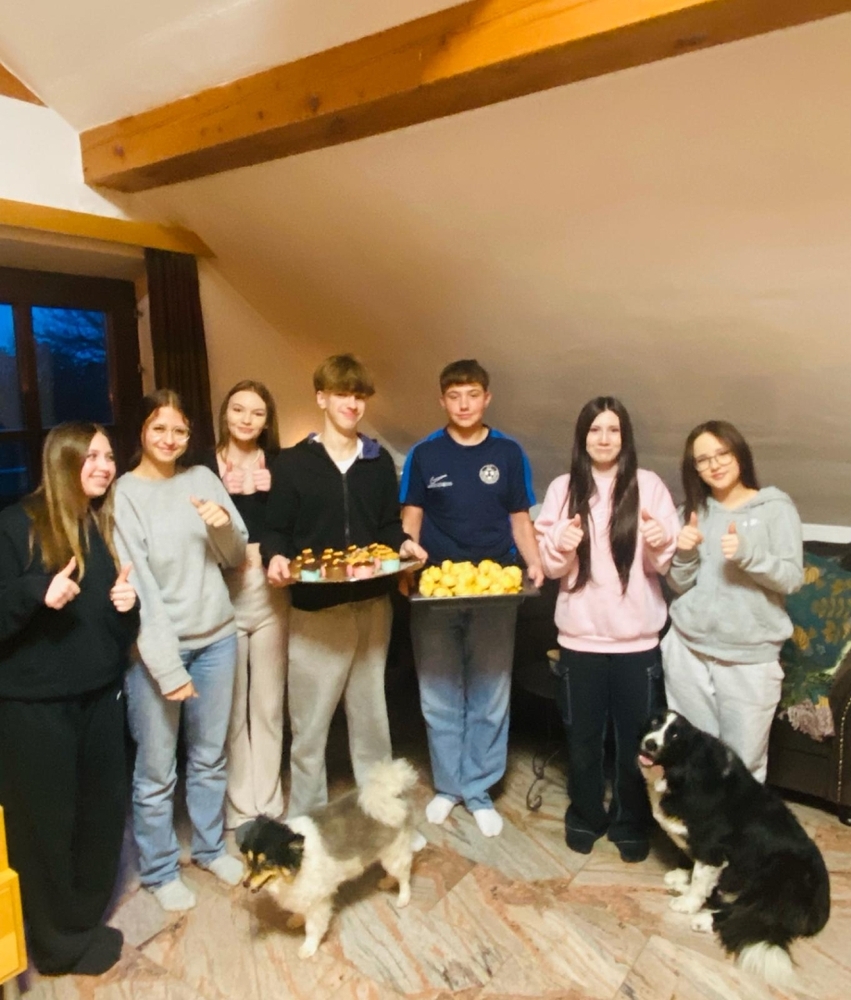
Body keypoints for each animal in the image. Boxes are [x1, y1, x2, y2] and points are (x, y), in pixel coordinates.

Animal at [237, 758, 418, 958]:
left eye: (266, 864)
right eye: (248, 860)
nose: (245, 883)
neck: (300, 862)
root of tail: (390, 792)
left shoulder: (318, 903)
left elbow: (313, 929)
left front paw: (308, 948)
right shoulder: (304, 896)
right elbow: (301, 911)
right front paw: (296, 919)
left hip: (393, 853)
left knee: (404, 876)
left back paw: (403, 898)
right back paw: (387, 882)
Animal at [638, 710, 830, 986]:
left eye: (674, 736)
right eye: (655, 722)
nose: (651, 744)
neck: (682, 770)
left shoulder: (712, 848)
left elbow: (700, 878)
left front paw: (688, 903)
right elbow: (691, 864)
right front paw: (682, 878)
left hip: (777, 873)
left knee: (748, 912)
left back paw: (703, 918)